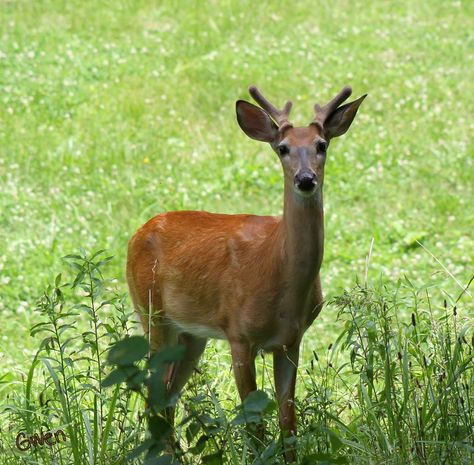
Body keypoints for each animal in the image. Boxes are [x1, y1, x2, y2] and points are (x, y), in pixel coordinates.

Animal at [126, 84, 366, 460]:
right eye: (282, 148)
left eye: (321, 145)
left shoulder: (291, 341)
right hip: (152, 313)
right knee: (153, 397)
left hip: (190, 334)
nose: (306, 179)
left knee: (167, 399)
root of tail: (138, 232)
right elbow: (253, 424)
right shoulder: (238, 333)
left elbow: (288, 422)